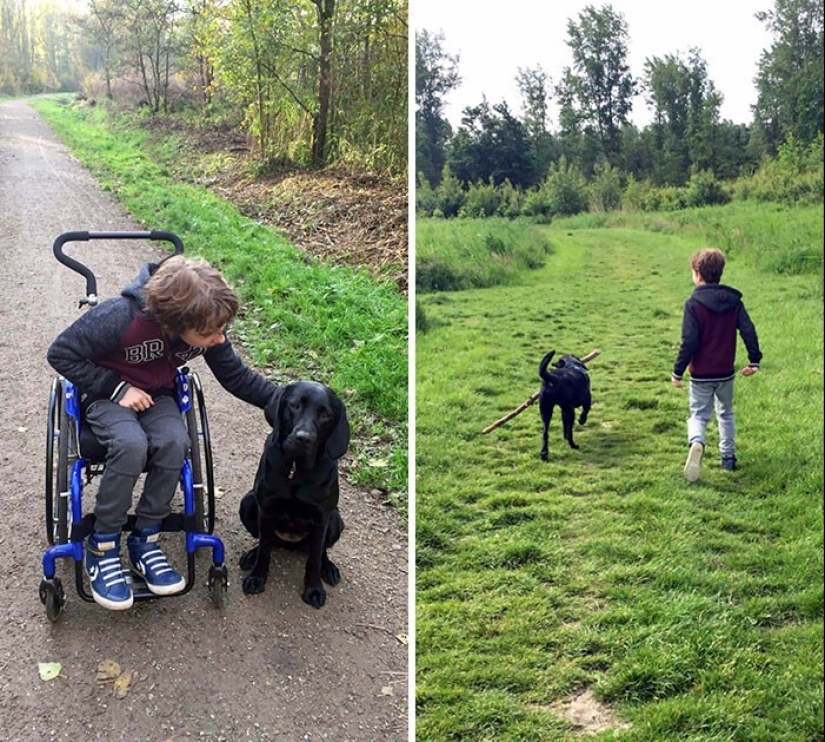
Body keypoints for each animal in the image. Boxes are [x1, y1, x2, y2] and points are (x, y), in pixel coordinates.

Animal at [241, 380, 350, 608]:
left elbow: (314, 560)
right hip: (247, 502)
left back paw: (328, 568)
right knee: (266, 541)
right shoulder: (265, 509)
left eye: (326, 414)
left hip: (336, 520)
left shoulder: (321, 518)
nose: (303, 438)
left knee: (321, 551)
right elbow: (264, 551)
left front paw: (314, 589)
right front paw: (257, 577)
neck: (295, 468)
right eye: (295, 405)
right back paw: (251, 556)